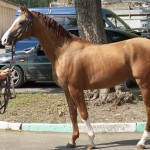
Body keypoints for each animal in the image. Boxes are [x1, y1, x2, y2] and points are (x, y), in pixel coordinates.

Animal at [1, 6, 150, 149]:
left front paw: (90, 142)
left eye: (21, 22)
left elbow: (83, 113)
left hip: (144, 85)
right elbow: (73, 113)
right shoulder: (67, 90)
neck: (63, 51)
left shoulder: (76, 89)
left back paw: (141, 142)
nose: (4, 40)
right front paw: (72, 141)